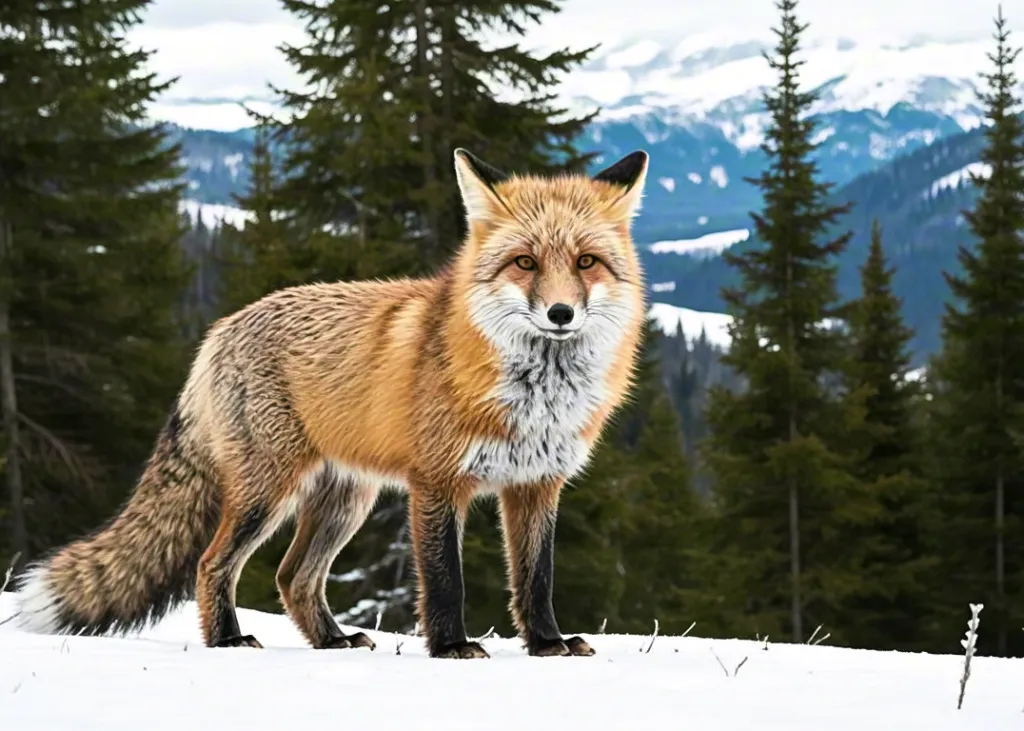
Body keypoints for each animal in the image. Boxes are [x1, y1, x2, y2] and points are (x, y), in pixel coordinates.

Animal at [14, 147, 649, 659]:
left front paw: (546, 643)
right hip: (268, 492)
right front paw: (450, 647)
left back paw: (331, 641)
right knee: (212, 563)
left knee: (293, 577)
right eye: (525, 263)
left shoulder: (537, 485)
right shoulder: (437, 482)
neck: (537, 399)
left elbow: (536, 580)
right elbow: (446, 578)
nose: (561, 314)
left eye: (586, 262)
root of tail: (218, 331)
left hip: (346, 499)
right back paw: (227, 640)